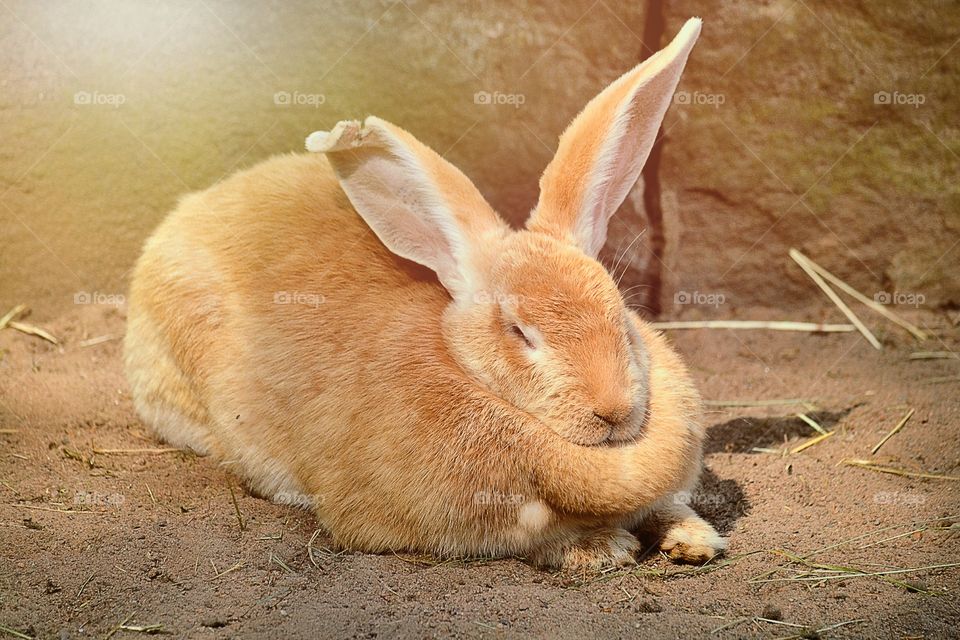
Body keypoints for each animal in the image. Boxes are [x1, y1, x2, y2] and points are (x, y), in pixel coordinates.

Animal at [127, 18, 728, 568]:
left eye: (620, 315)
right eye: (519, 332)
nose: (613, 411)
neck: (463, 368)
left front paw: (696, 539)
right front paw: (604, 547)